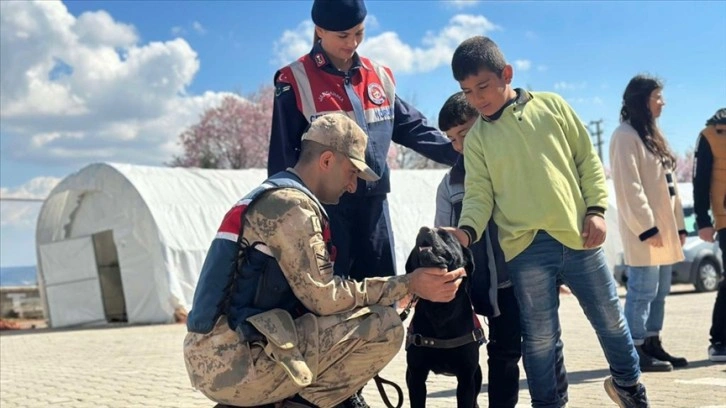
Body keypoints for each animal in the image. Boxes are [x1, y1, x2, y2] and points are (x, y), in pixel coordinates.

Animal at [404, 226, 484, 408]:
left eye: (445, 234)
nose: (423, 229)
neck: (440, 310)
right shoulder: (416, 376)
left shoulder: (466, 379)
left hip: (477, 376)